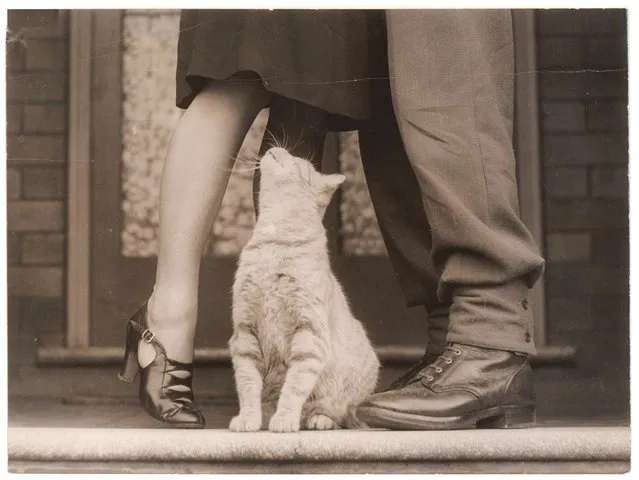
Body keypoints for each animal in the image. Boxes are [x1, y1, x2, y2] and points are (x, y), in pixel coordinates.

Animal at [229, 146, 380, 432]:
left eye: (300, 163)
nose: (277, 148)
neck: (274, 240)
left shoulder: (309, 333)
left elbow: (294, 386)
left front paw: (285, 418)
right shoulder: (245, 333)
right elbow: (247, 383)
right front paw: (249, 417)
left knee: (338, 413)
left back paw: (318, 419)